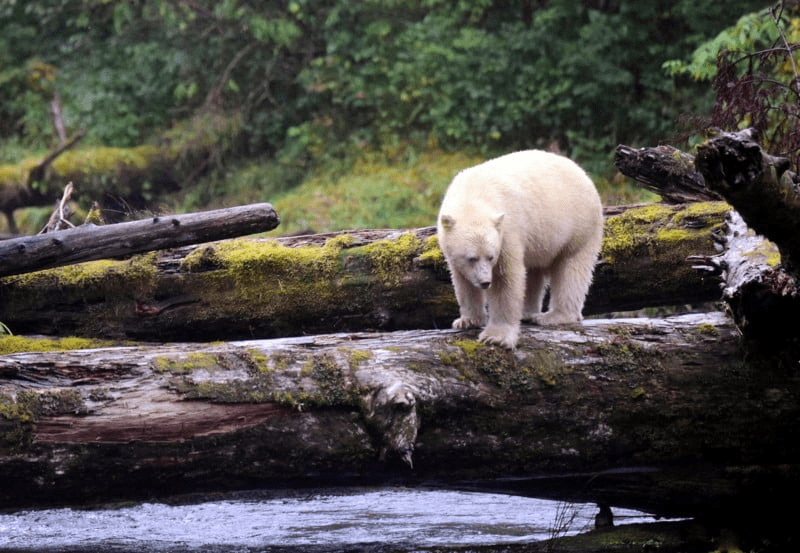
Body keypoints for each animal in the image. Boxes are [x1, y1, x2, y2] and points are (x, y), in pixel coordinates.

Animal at [438, 150, 600, 350]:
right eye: (471, 258)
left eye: (491, 257)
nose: (485, 282)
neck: (473, 193)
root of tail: (584, 174)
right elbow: (462, 281)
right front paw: (467, 320)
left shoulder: (507, 231)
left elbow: (504, 279)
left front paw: (496, 337)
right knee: (534, 271)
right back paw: (527, 312)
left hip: (578, 225)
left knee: (571, 269)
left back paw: (553, 316)